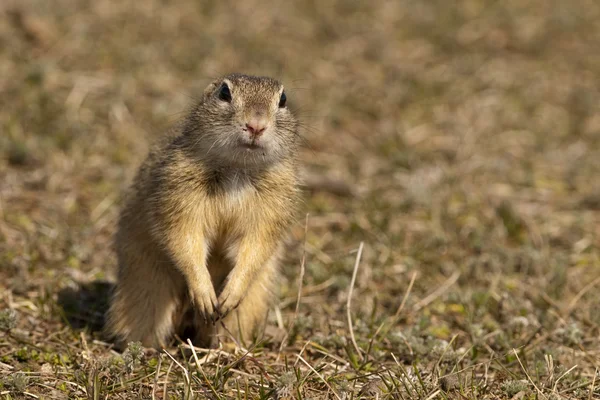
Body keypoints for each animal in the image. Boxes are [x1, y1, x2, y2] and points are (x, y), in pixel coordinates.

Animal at [106, 73, 302, 348]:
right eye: (224, 93)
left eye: (283, 99)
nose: (256, 126)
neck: (237, 167)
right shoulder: (178, 194)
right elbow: (185, 240)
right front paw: (204, 294)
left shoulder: (273, 209)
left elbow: (255, 248)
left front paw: (229, 294)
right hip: (145, 286)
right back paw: (142, 349)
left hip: (251, 302)